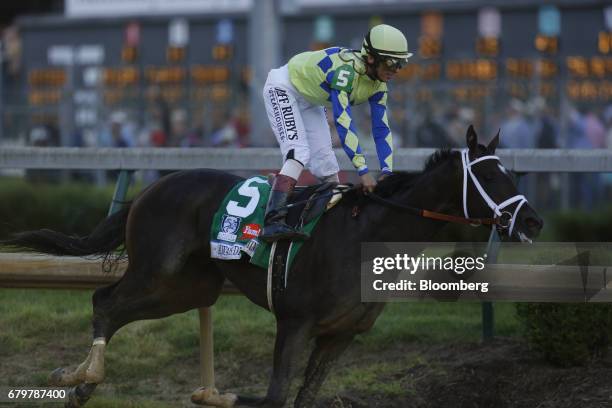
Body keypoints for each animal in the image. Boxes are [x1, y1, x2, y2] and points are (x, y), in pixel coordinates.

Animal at [4, 126, 540, 406]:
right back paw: (82, 377)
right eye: (491, 176)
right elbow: (277, 394)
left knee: (115, 308)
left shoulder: (340, 335)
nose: (533, 219)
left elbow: (304, 397)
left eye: (511, 172)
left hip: (187, 290)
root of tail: (151, 188)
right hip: (156, 271)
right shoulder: (295, 321)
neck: (364, 234)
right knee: (103, 301)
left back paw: (80, 383)